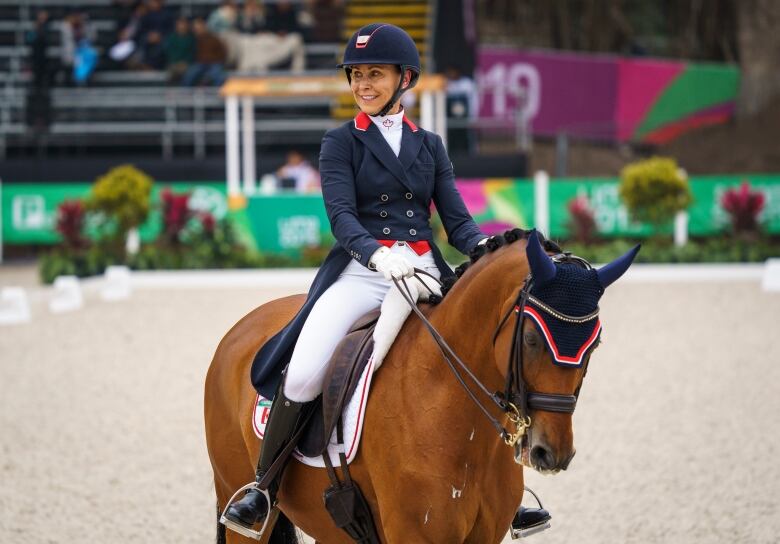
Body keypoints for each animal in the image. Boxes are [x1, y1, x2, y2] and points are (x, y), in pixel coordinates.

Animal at [204, 231, 636, 544]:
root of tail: (242, 327)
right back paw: (252, 502)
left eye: (595, 342)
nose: (552, 453)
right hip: (236, 496)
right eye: (531, 338)